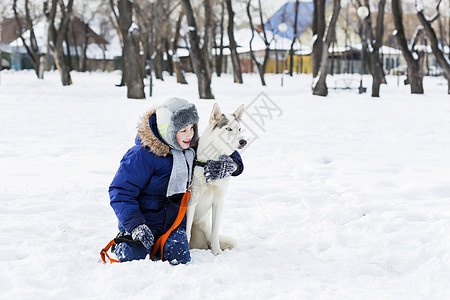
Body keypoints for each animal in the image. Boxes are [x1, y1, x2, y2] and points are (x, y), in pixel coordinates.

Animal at [188, 103, 248, 255]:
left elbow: (215, 232)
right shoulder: (191, 201)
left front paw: (217, 252)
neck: (212, 159)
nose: (243, 141)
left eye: (239, 129)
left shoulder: (219, 201)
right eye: (228, 128)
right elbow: (185, 231)